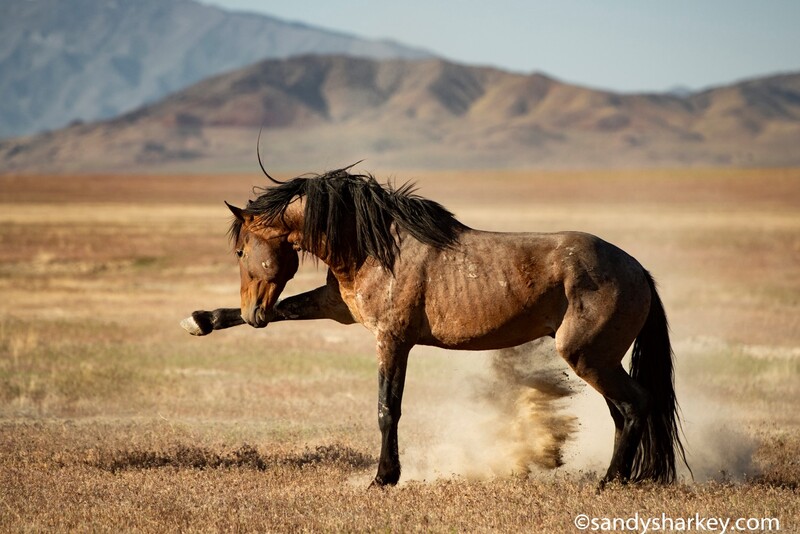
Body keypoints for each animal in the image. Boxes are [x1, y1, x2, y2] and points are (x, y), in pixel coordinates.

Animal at [182, 165, 689, 487]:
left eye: (241, 251)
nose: (253, 312)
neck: (373, 247)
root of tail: (637, 270)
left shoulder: (391, 341)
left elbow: (387, 409)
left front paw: (383, 479)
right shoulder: (336, 306)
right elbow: (287, 309)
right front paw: (200, 320)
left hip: (588, 357)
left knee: (634, 406)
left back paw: (610, 483)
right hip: (599, 362)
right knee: (623, 412)